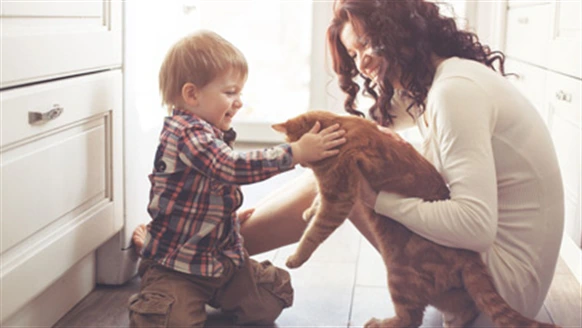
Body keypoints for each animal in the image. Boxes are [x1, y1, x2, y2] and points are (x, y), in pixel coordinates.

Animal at [272, 111, 556, 328]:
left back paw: (378, 323)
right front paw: (309, 211)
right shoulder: (334, 193)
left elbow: (314, 233)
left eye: (295, 147)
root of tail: (470, 256)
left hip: (399, 275)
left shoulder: (339, 198)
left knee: (411, 318)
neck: (339, 125)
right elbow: (316, 204)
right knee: (464, 308)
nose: (298, 164)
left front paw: (296, 258)